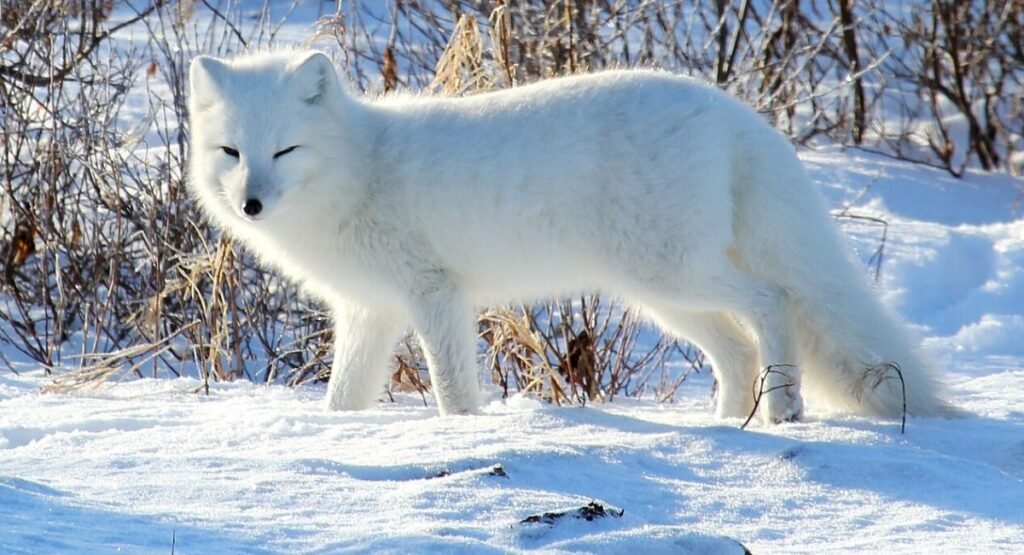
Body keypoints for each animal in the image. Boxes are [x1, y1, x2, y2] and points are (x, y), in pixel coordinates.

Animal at [187, 50, 955, 423]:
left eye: (285, 150)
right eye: (232, 152)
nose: (251, 203)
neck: (360, 167)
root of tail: (733, 112)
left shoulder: (435, 294)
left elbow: (451, 387)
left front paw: (462, 435)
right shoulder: (369, 310)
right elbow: (344, 397)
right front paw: (333, 434)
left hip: (673, 275)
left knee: (774, 301)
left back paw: (784, 408)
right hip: (662, 294)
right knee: (737, 348)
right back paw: (719, 428)